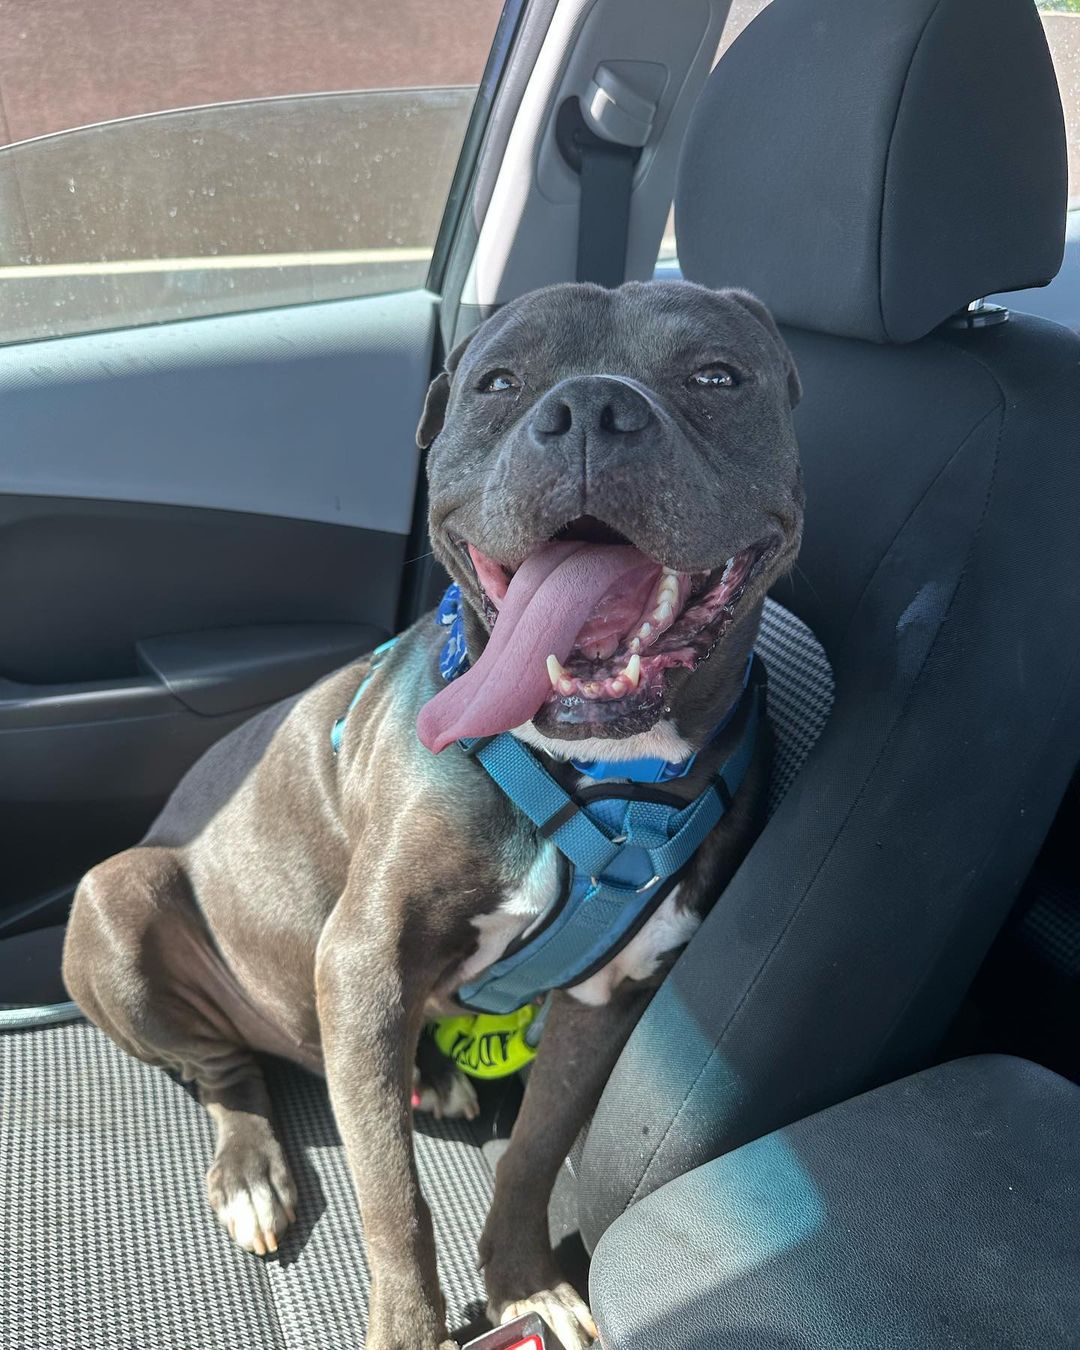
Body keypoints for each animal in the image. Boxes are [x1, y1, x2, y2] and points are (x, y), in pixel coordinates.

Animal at [61, 276, 799, 1350]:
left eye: (716, 375)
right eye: (498, 382)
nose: (591, 410)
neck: (593, 774)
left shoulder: (608, 996)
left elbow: (533, 1154)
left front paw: (524, 1284)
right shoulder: (363, 959)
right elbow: (391, 1198)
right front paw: (410, 1326)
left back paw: (431, 1080)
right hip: (119, 897)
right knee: (220, 1068)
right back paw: (250, 1171)